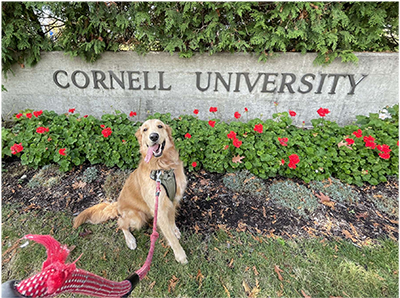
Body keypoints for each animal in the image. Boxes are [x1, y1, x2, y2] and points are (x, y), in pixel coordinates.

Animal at [72, 118, 188, 264]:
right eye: (145, 129)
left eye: (160, 126)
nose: (153, 136)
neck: (162, 167)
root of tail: (117, 204)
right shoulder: (159, 209)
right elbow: (170, 236)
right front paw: (180, 255)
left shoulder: (173, 200)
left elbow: (172, 220)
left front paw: (175, 230)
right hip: (137, 217)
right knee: (121, 223)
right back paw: (130, 240)